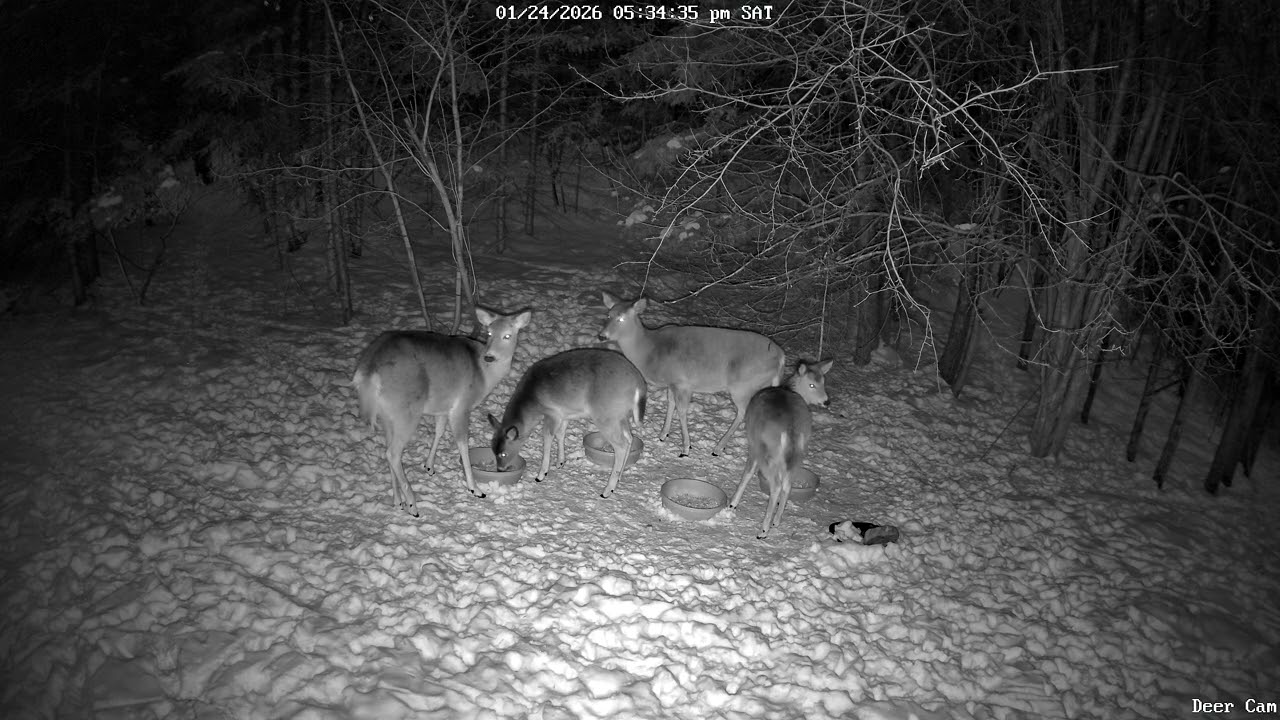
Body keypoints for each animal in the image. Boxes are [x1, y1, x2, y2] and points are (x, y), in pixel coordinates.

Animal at [352, 307, 532, 516]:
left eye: (507, 335)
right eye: (488, 333)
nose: (490, 356)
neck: (484, 374)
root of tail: (368, 371)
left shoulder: (443, 407)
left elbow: (438, 432)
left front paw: (429, 467)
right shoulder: (462, 405)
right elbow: (462, 444)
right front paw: (475, 489)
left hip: (387, 414)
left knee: (387, 450)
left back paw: (398, 501)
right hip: (406, 410)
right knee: (392, 453)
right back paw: (412, 505)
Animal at [488, 348, 646, 498]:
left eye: (503, 454)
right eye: (492, 449)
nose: (500, 469)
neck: (532, 401)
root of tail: (639, 384)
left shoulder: (553, 413)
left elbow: (547, 438)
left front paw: (541, 474)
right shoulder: (564, 414)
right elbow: (560, 434)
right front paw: (560, 462)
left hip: (606, 417)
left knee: (621, 445)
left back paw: (607, 490)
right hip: (620, 416)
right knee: (629, 438)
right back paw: (618, 478)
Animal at [598, 291, 785, 457]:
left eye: (622, 318)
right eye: (608, 315)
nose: (601, 336)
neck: (649, 350)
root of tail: (781, 356)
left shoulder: (682, 382)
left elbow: (682, 411)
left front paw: (686, 448)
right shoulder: (672, 382)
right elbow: (670, 403)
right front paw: (663, 435)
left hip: (743, 384)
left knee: (743, 412)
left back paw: (718, 448)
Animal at [728, 359, 834, 539]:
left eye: (823, 382)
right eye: (813, 384)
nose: (826, 401)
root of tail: (791, 429)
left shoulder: (753, 443)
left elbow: (748, 473)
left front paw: (732, 504)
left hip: (766, 451)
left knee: (777, 485)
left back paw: (763, 530)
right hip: (799, 453)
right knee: (788, 483)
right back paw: (776, 521)